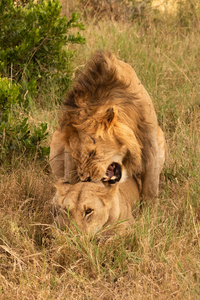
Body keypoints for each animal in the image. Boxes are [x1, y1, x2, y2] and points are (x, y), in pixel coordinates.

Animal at [49, 50, 166, 200]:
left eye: (92, 153)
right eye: (76, 158)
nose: (86, 178)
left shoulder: (150, 146)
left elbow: (150, 188)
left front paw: (149, 206)